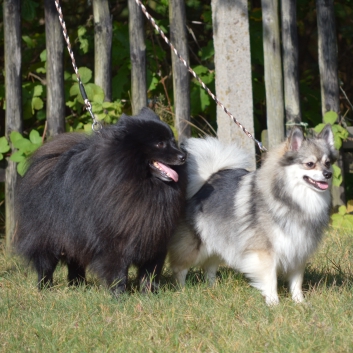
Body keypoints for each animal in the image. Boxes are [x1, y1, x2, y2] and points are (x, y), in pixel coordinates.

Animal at [13, 107, 186, 294]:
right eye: (160, 144)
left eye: (173, 141)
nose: (183, 156)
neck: (144, 185)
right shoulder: (113, 241)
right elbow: (117, 271)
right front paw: (119, 295)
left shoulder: (155, 238)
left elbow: (150, 271)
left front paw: (149, 293)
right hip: (47, 236)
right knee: (45, 263)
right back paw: (45, 287)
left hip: (75, 235)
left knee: (75, 261)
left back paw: (78, 284)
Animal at [169, 125, 336, 304]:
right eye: (310, 164)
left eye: (327, 163)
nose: (328, 174)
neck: (293, 199)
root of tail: (205, 182)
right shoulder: (265, 252)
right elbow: (271, 279)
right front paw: (274, 303)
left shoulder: (298, 250)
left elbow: (297, 281)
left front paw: (300, 302)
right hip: (193, 246)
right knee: (180, 268)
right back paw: (182, 291)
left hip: (218, 241)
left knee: (210, 267)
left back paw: (213, 288)